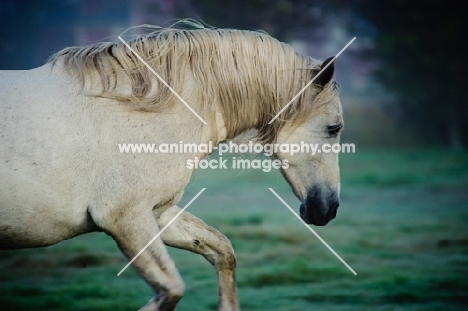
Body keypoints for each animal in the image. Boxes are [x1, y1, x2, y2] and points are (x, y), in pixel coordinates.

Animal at [0, 22, 344, 311]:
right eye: (334, 128)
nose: (329, 209)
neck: (141, 110)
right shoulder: (125, 219)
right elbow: (171, 289)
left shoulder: (157, 213)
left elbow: (222, 250)